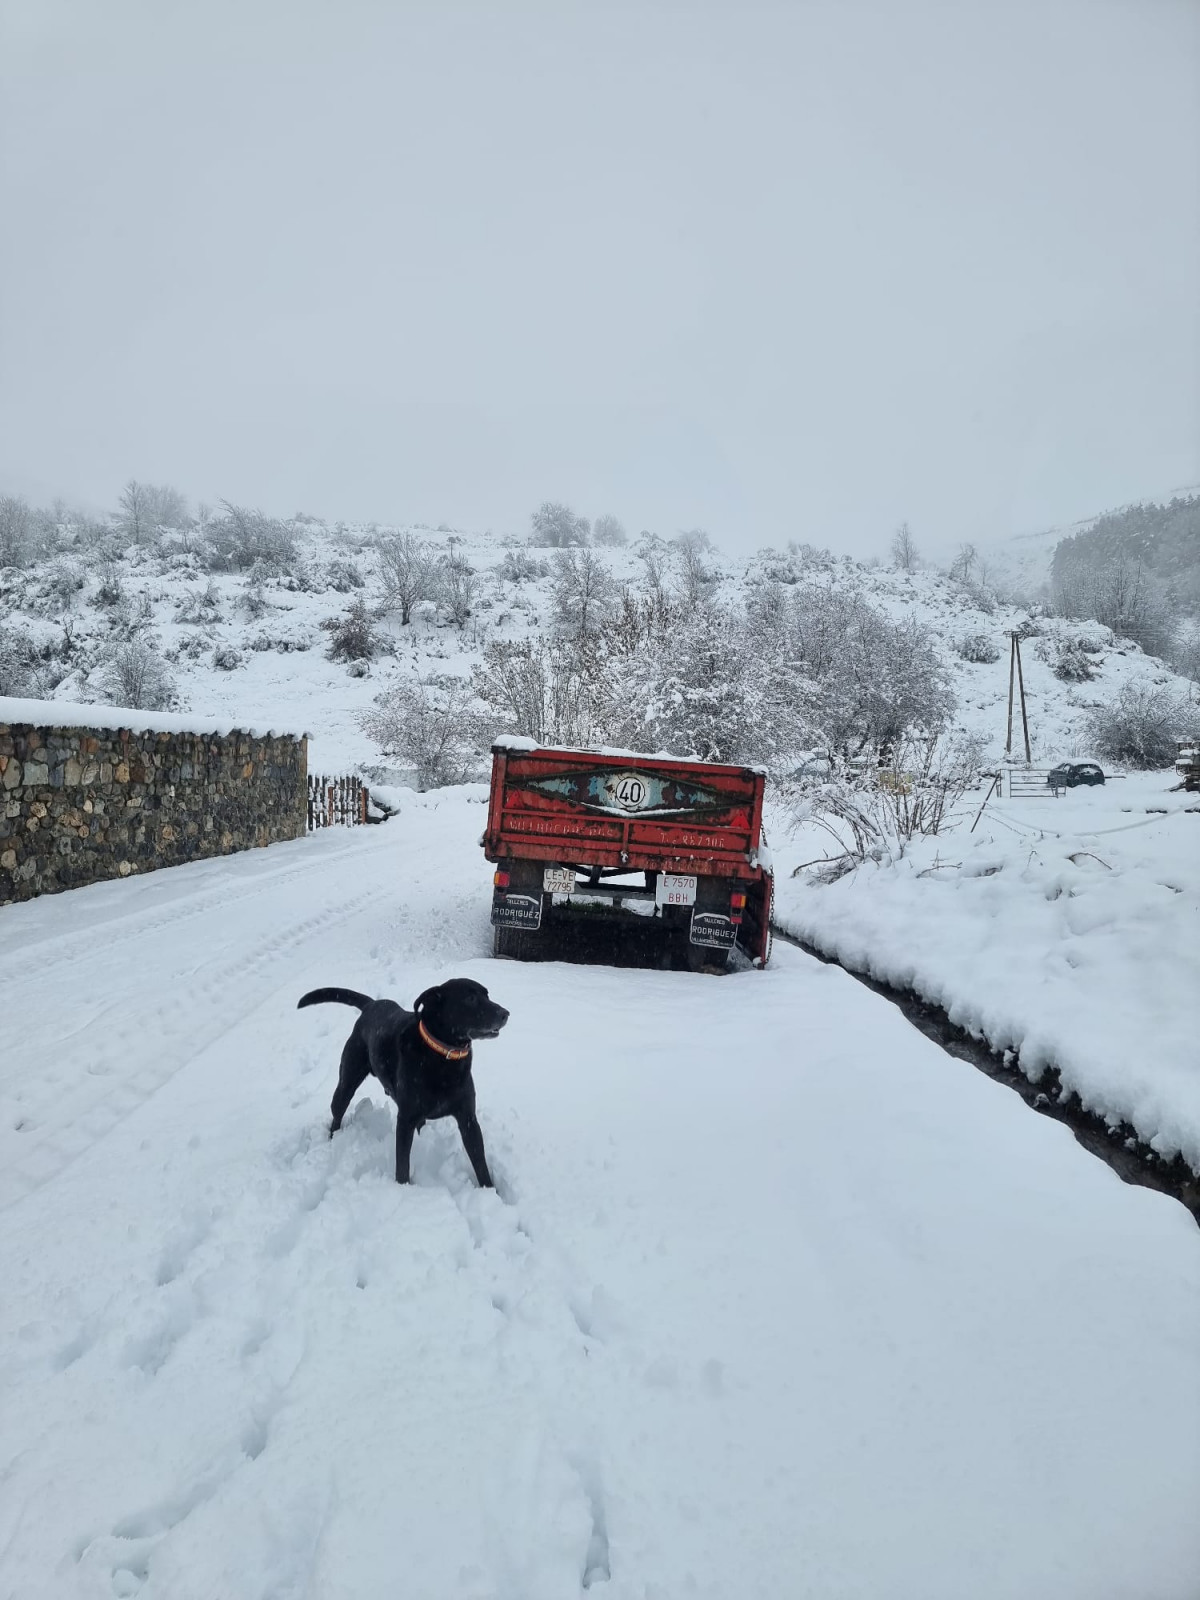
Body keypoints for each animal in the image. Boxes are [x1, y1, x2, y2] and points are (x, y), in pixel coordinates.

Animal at [300, 972, 512, 1190]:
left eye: (487, 995)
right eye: (470, 998)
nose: (505, 1013)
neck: (443, 1056)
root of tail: (371, 1004)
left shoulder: (468, 1118)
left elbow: (480, 1162)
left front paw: (490, 1190)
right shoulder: (405, 1119)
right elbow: (402, 1164)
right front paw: (402, 1188)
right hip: (347, 1081)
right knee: (337, 1114)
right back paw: (332, 1140)